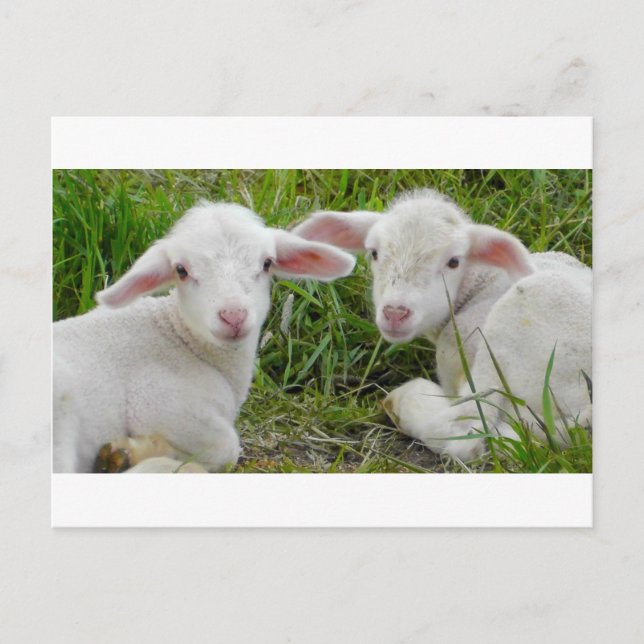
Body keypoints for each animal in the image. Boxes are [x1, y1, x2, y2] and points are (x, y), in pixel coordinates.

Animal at [53, 200, 356, 473]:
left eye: (267, 263)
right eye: (181, 270)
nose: (233, 315)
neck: (180, 336)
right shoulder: (158, 402)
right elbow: (227, 447)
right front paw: (135, 453)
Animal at [293, 189, 591, 462]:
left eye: (454, 261)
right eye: (374, 253)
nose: (395, 313)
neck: (480, 284)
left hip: (511, 331)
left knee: (467, 430)